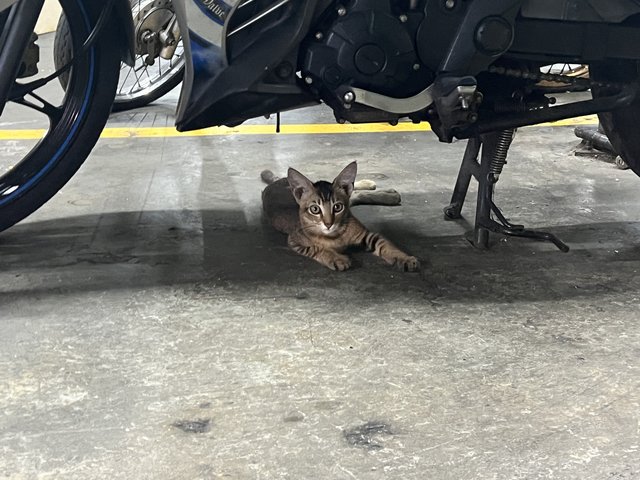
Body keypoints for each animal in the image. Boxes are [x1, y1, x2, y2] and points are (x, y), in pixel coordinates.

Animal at [260, 162, 420, 272]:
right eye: (314, 209)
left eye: (337, 207)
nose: (328, 224)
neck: (334, 236)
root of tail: (276, 182)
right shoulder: (295, 240)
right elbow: (317, 248)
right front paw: (336, 258)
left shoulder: (367, 235)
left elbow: (387, 245)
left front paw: (404, 258)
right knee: (354, 194)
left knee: (352, 190)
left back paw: (377, 188)